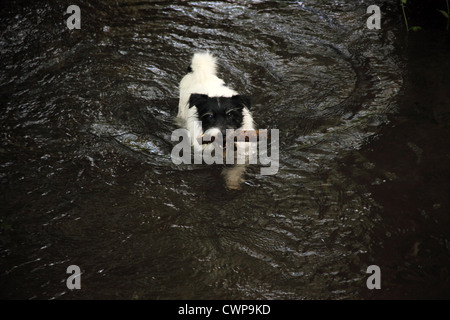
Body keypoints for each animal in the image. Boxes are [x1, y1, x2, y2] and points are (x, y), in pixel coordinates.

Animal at [176, 51, 255, 189]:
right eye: (209, 116)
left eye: (230, 114)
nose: (223, 134)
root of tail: (201, 73)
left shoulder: (242, 154)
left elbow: (235, 170)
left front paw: (232, 184)